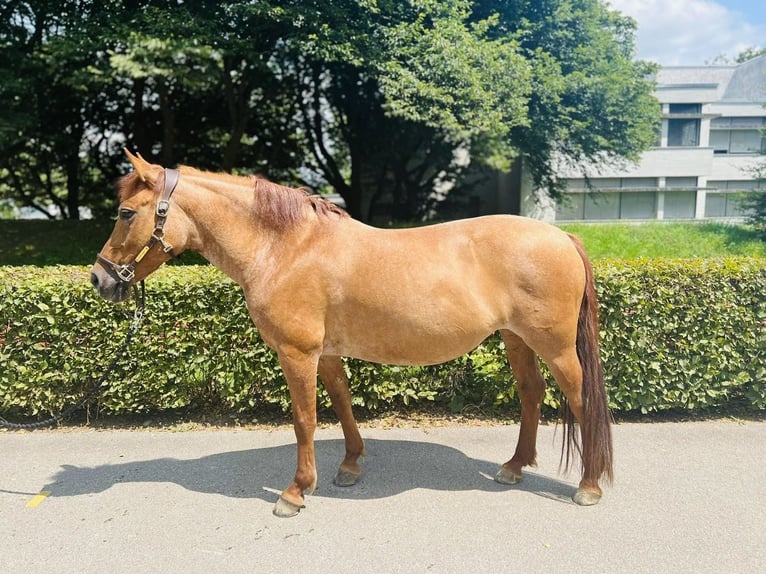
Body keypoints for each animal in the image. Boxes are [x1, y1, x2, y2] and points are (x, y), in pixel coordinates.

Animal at [90, 151, 616, 520]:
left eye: (126, 213)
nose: (99, 280)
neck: (286, 248)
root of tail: (562, 237)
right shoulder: (325, 353)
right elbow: (342, 404)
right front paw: (350, 466)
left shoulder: (297, 354)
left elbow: (304, 420)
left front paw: (295, 492)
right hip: (516, 338)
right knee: (532, 393)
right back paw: (514, 466)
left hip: (554, 346)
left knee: (581, 399)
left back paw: (588, 487)